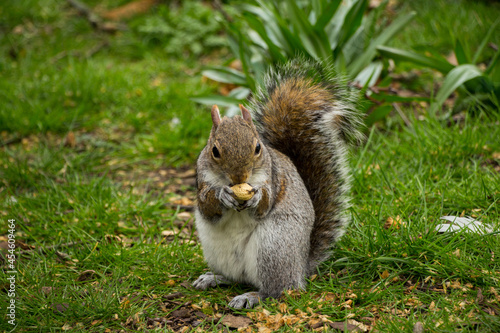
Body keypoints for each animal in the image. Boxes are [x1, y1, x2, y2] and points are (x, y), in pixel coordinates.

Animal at [192, 57, 364, 308]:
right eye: (214, 151)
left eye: (257, 147)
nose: (239, 178)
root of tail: (301, 266)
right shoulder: (202, 180)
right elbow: (207, 207)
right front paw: (223, 195)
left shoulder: (273, 179)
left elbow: (265, 204)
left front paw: (255, 197)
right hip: (219, 251)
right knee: (237, 278)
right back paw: (214, 278)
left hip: (275, 247)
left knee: (278, 289)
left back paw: (252, 296)